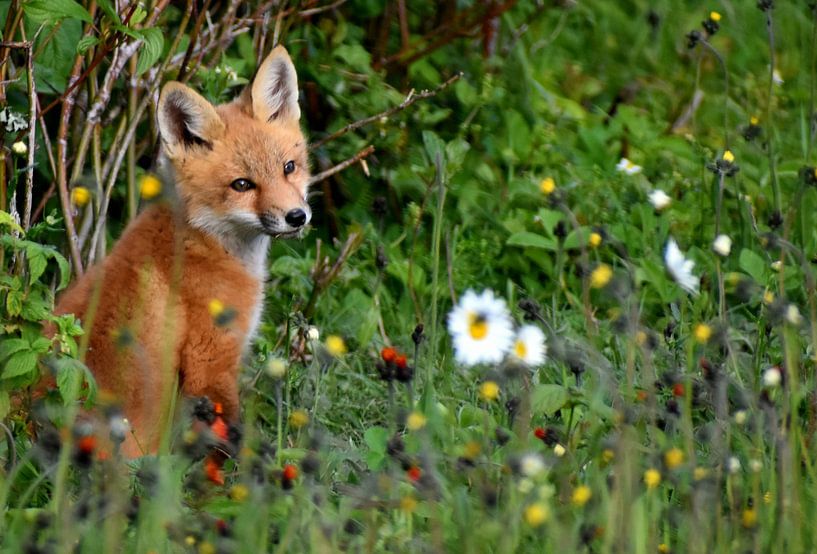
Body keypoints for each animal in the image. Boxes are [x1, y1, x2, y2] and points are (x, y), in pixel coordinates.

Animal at [49, 46, 311, 457]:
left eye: (289, 167)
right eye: (242, 185)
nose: (297, 217)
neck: (203, 241)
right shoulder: (211, 361)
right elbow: (231, 444)